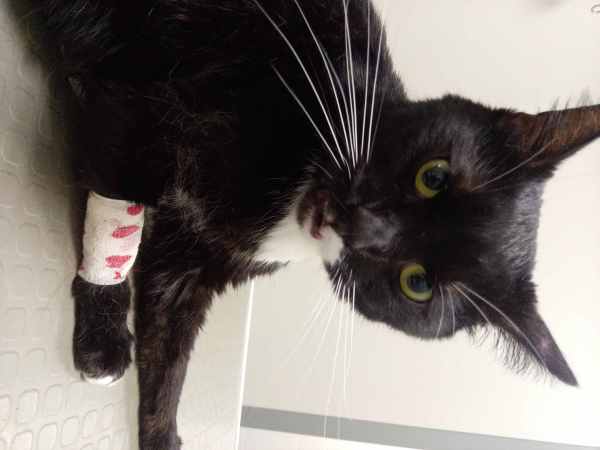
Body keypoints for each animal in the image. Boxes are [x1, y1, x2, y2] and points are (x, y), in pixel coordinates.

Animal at [20, 0, 600, 448]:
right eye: (433, 176)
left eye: (416, 284)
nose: (363, 225)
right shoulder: (152, 114)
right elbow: (120, 214)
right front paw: (103, 334)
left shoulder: (197, 264)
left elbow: (169, 353)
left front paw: (161, 433)